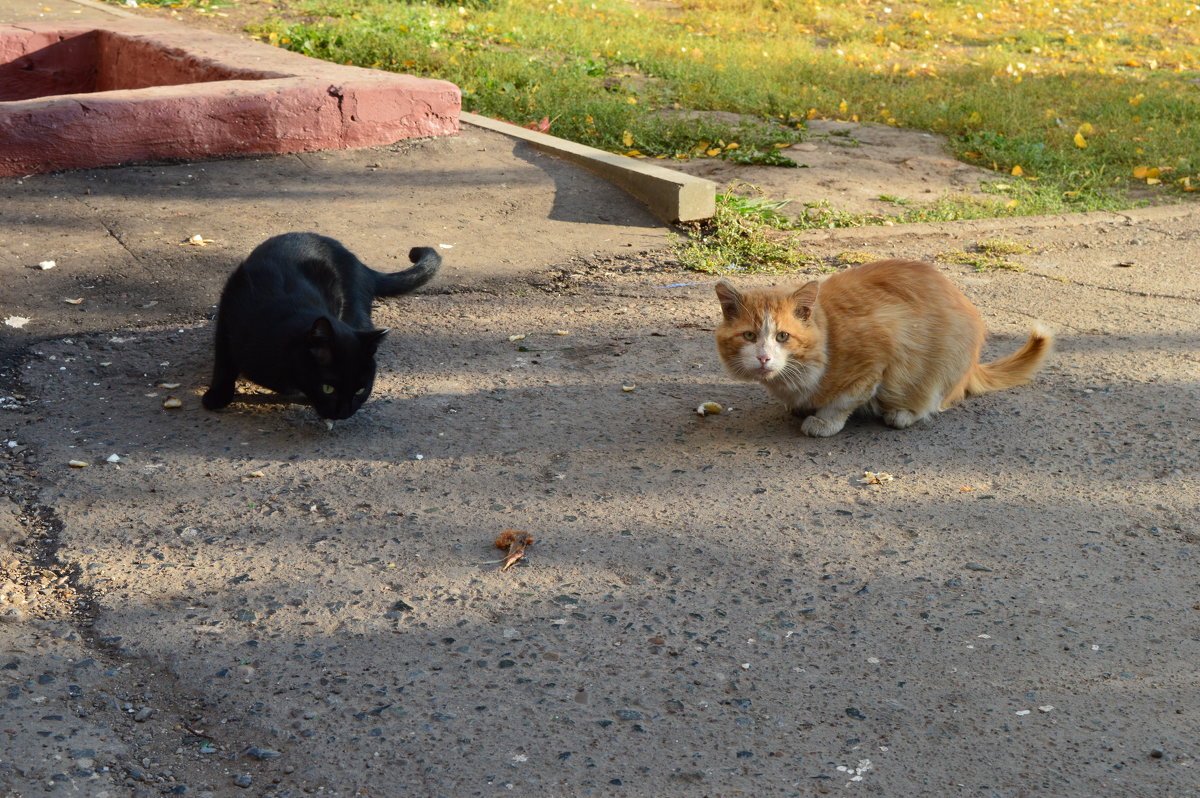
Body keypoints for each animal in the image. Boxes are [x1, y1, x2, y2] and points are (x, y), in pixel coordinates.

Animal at [204, 230, 444, 417]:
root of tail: (359, 264)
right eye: (328, 389)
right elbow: (224, 360)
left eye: (360, 390)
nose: (344, 413)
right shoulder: (229, 311)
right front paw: (217, 396)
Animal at [715, 260, 1056, 436]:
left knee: (934, 400)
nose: (763, 357)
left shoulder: (880, 350)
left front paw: (824, 421)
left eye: (783, 336)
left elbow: (845, 400)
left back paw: (903, 414)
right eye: (749, 336)